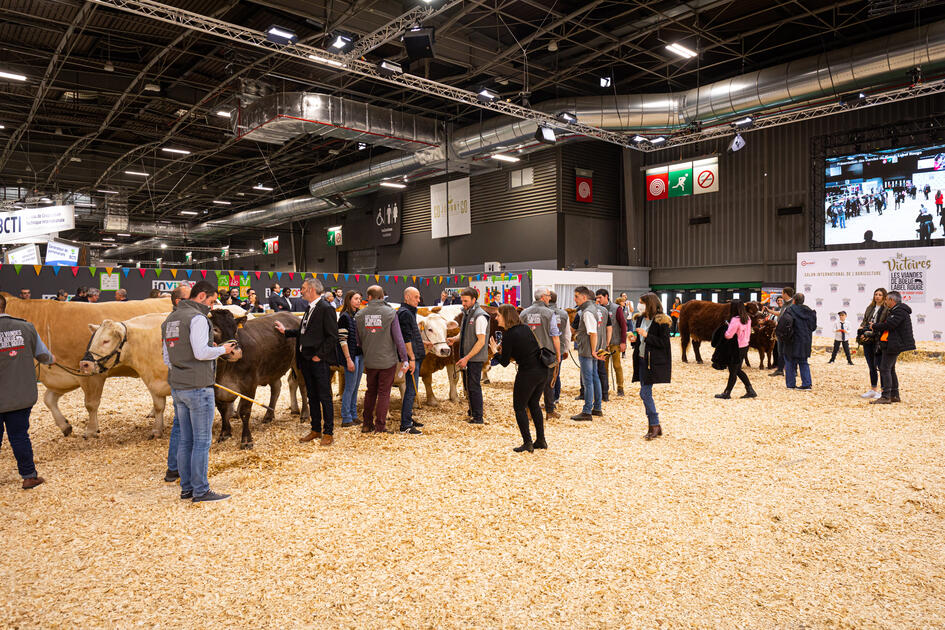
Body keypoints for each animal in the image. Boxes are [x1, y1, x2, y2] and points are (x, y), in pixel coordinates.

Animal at [1, 294, 171, 436]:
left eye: (105, 341)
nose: (84, 363)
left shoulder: (90, 376)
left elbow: (90, 404)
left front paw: (91, 430)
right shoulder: (64, 376)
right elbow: (48, 399)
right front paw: (65, 426)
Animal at [207, 310, 308, 450]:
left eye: (235, 330)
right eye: (215, 329)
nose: (236, 352)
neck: (224, 369)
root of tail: (291, 315)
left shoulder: (249, 384)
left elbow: (244, 411)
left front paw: (246, 440)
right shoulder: (216, 387)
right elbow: (223, 410)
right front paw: (225, 433)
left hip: (298, 363)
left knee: (303, 386)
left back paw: (304, 414)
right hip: (273, 368)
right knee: (276, 388)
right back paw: (268, 415)